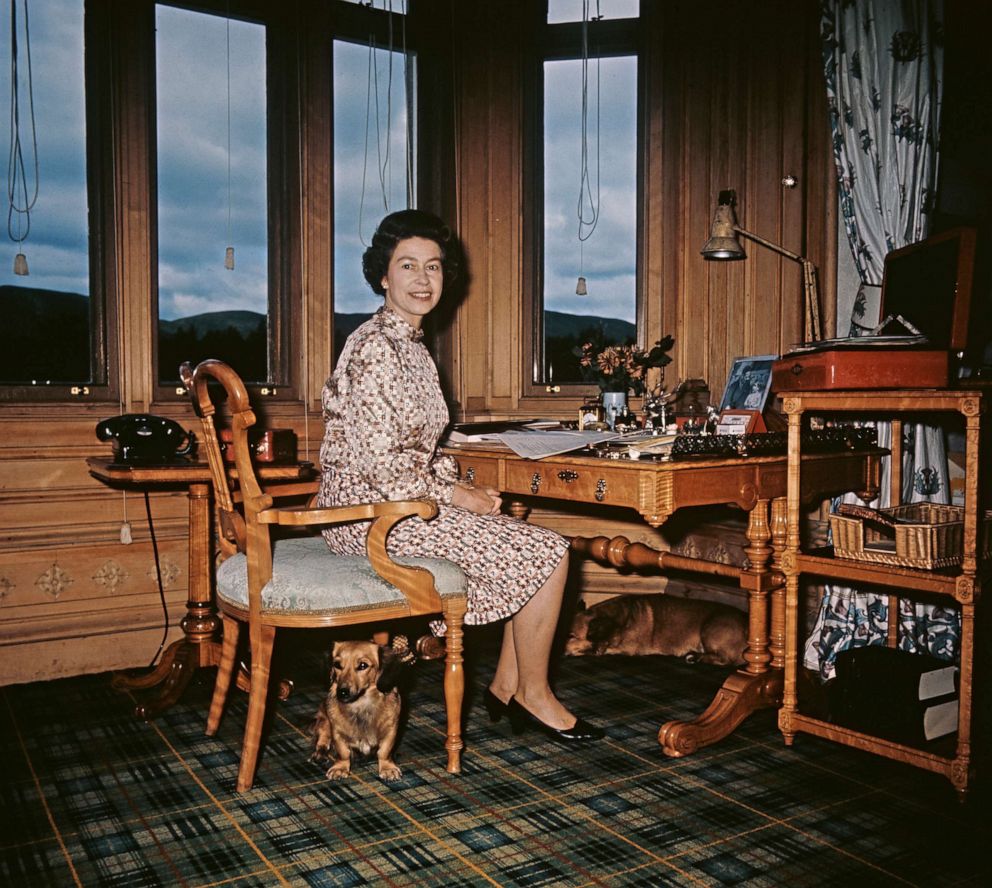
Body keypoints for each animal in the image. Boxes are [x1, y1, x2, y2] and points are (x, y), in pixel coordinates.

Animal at [310, 640, 410, 780]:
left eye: (363, 665)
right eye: (337, 665)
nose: (342, 692)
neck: (360, 705)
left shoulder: (390, 731)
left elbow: (384, 752)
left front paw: (387, 768)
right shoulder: (337, 732)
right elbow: (343, 752)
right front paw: (340, 767)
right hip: (324, 721)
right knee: (323, 739)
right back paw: (320, 754)